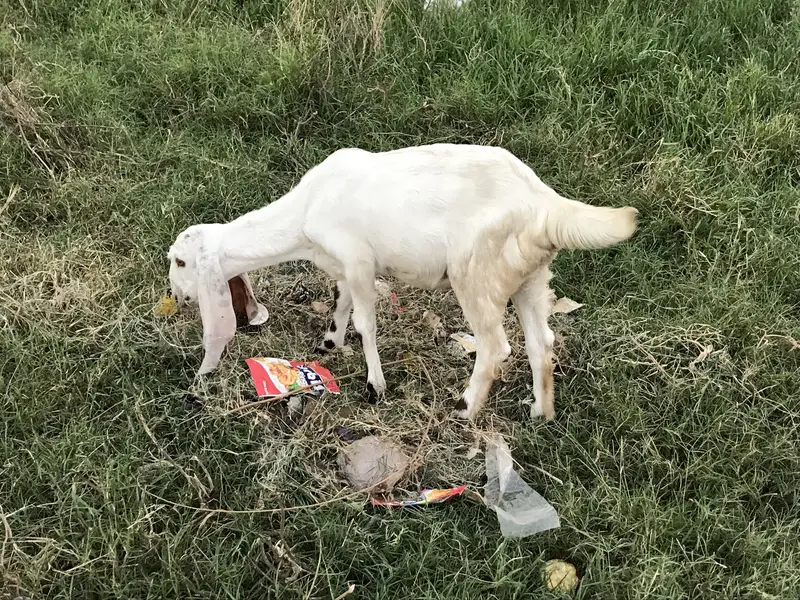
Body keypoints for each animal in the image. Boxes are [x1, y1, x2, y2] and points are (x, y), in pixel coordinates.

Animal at [167, 143, 638, 420]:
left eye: (179, 261)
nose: (177, 296)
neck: (303, 215)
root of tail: (545, 204)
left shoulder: (359, 260)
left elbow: (366, 323)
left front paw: (374, 385)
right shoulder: (345, 267)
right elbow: (340, 302)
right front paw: (329, 341)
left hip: (476, 273)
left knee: (495, 346)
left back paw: (465, 408)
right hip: (531, 277)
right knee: (542, 342)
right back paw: (541, 410)